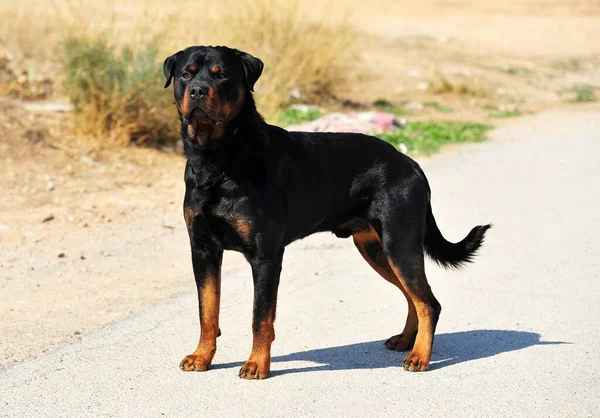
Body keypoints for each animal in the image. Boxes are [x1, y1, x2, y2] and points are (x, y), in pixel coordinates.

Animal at [162, 45, 490, 378]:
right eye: (186, 74)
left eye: (222, 75)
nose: (198, 90)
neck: (217, 160)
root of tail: (412, 164)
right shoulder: (203, 249)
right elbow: (207, 310)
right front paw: (202, 356)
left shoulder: (265, 255)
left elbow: (260, 318)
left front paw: (256, 363)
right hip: (376, 249)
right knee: (414, 296)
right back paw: (405, 341)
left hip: (399, 243)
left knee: (428, 302)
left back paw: (420, 356)